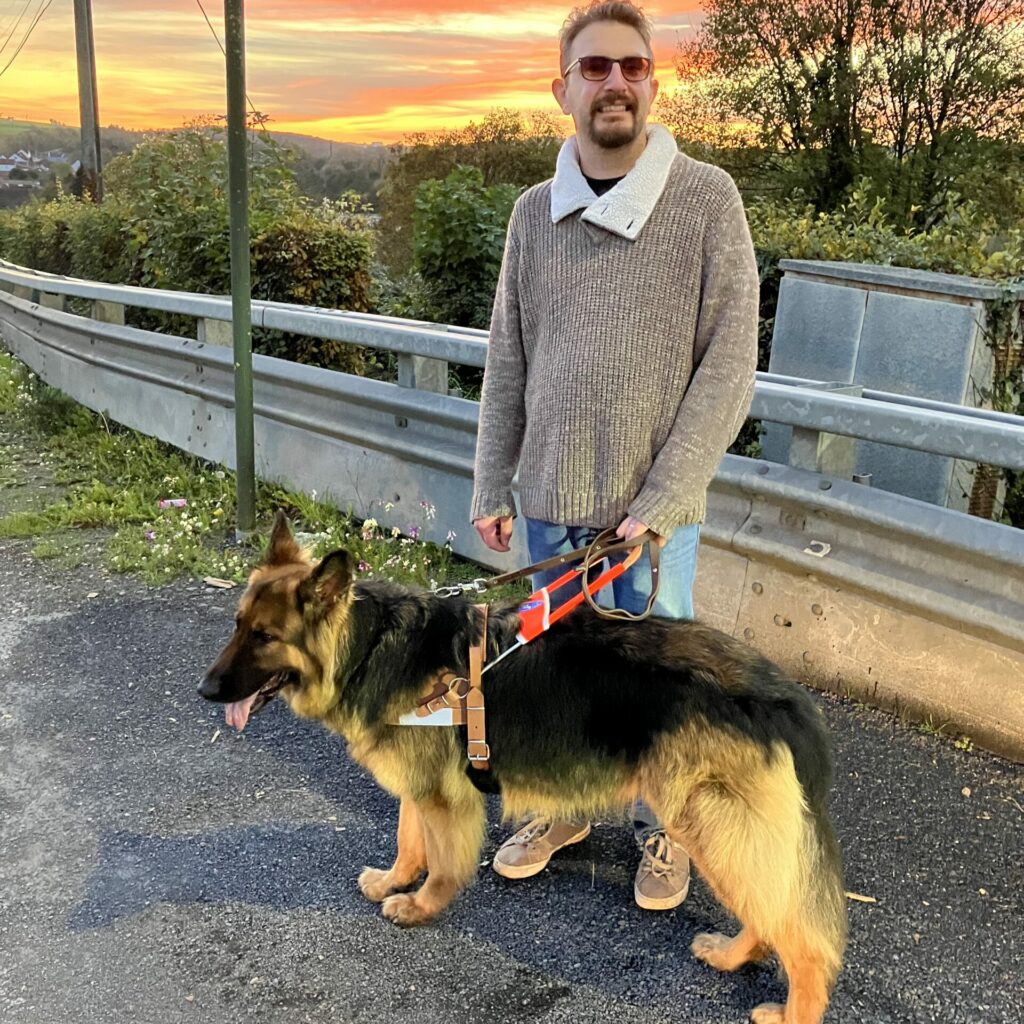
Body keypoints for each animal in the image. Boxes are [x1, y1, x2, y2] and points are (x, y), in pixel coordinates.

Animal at [199, 512, 847, 1024]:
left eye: (265, 637)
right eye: (236, 625)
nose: (204, 691)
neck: (369, 646)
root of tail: (778, 691)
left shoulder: (444, 798)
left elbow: (441, 863)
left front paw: (421, 906)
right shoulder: (420, 786)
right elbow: (409, 842)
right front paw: (393, 881)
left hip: (710, 828)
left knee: (805, 941)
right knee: (771, 912)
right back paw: (734, 955)